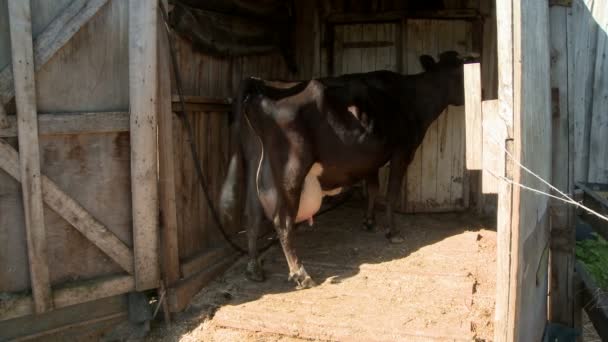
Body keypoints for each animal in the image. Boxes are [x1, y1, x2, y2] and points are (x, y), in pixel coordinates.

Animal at [221, 50, 472, 288]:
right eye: (460, 73)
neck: (412, 99)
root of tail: (263, 83)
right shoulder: (402, 151)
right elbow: (391, 194)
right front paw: (392, 232)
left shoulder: (371, 158)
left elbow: (373, 188)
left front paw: (369, 221)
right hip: (291, 166)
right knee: (282, 220)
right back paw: (301, 274)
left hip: (255, 160)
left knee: (252, 215)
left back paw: (254, 268)